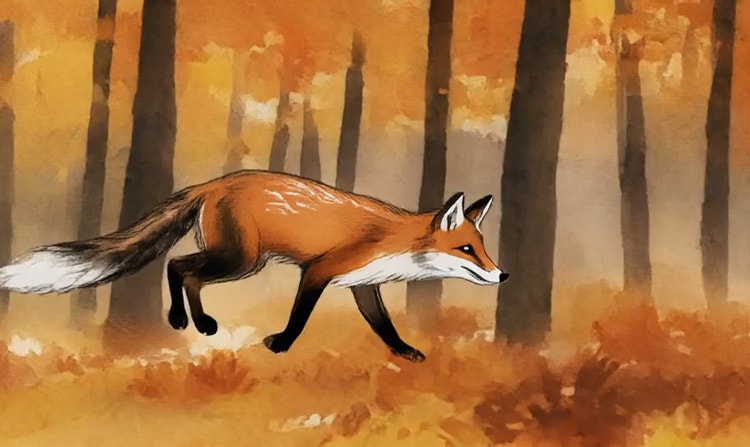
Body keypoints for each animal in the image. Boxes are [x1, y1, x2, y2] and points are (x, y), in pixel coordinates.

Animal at [0, 170, 508, 362]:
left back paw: (195, 322)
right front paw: (280, 344)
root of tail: (213, 182)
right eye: (467, 249)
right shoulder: (321, 271)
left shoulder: (362, 284)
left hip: (239, 260)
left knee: (184, 270)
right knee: (179, 266)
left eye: (482, 247)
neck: (395, 242)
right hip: (242, 260)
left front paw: (404, 351)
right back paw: (185, 320)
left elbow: (383, 325)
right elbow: (299, 318)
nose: (502, 274)